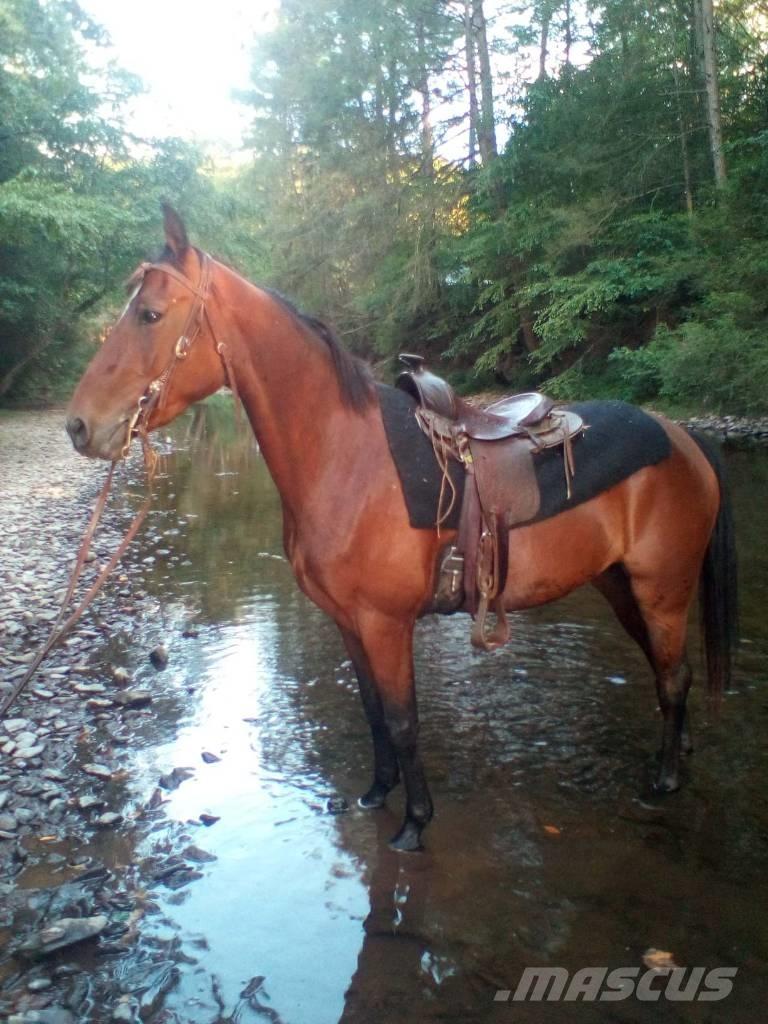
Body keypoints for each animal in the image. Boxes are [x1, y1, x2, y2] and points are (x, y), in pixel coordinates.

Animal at [66, 206, 738, 852]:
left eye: (150, 314)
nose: (79, 426)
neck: (345, 458)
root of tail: (682, 436)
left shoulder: (385, 625)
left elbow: (402, 719)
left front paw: (415, 823)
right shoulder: (348, 622)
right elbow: (371, 710)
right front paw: (375, 792)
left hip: (662, 589)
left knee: (674, 675)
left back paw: (664, 780)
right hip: (622, 586)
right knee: (665, 672)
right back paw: (673, 756)